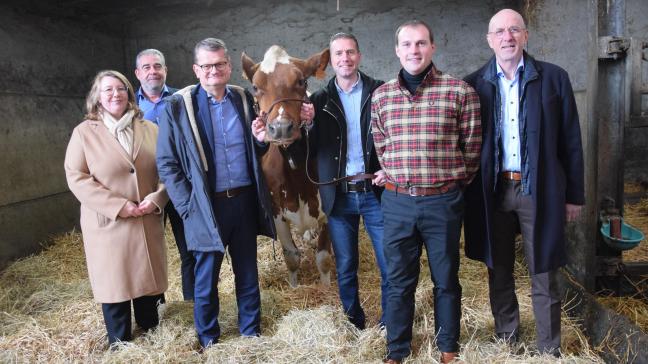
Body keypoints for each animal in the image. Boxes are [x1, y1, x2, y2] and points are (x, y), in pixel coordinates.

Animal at [243, 45, 334, 288]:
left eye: (301, 81)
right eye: (255, 86)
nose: (281, 128)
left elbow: (323, 258)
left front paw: (326, 287)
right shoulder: (276, 213)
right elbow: (291, 257)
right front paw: (294, 286)